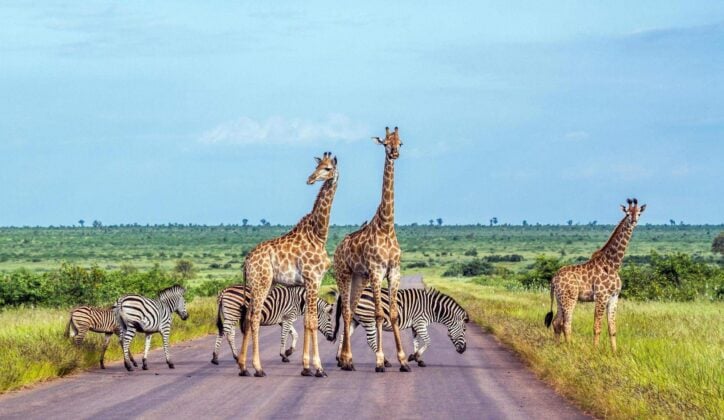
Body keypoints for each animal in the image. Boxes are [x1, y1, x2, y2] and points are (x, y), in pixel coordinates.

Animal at [238, 152, 340, 378]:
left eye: (327, 168)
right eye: (318, 166)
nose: (310, 179)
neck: (319, 235)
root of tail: (246, 261)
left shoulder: (309, 282)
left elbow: (307, 321)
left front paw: (306, 367)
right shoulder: (313, 279)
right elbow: (312, 321)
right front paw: (318, 368)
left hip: (254, 285)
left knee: (248, 316)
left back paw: (243, 367)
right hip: (262, 283)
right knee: (254, 318)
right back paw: (258, 368)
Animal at [330, 288, 466, 366]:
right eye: (464, 330)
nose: (463, 350)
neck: (432, 308)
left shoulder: (415, 325)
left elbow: (416, 342)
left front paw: (417, 359)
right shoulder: (420, 323)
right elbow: (428, 341)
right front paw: (415, 357)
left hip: (355, 319)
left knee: (343, 335)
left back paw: (339, 359)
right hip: (368, 318)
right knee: (370, 340)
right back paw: (385, 361)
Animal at [334, 126, 412, 372]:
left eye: (400, 142)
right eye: (386, 143)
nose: (394, 153)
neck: (386, 226)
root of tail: (337, 249)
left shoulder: (394, 271)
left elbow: (393, 314)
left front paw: (403, 360)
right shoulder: (377, 272)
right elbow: (379, 314)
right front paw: (379, 360)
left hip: (360, 278)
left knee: (351, 309)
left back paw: (345, 359)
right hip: (343, 274)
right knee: (347, 312)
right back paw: (347, 359)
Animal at [544, 197, 648, 352]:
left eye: (639, 213)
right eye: (628, 214)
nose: (634, 221)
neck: (613, 264)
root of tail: (553, 279)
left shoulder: (614, 297)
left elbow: (612, 328)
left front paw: (614, 352)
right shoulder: (601, 296)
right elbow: (597, 327)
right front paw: (595, 351)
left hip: (560, 298)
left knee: (557, 322)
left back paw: (558, 347)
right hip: (570, 298)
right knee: (566, 323)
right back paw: (569, 348)